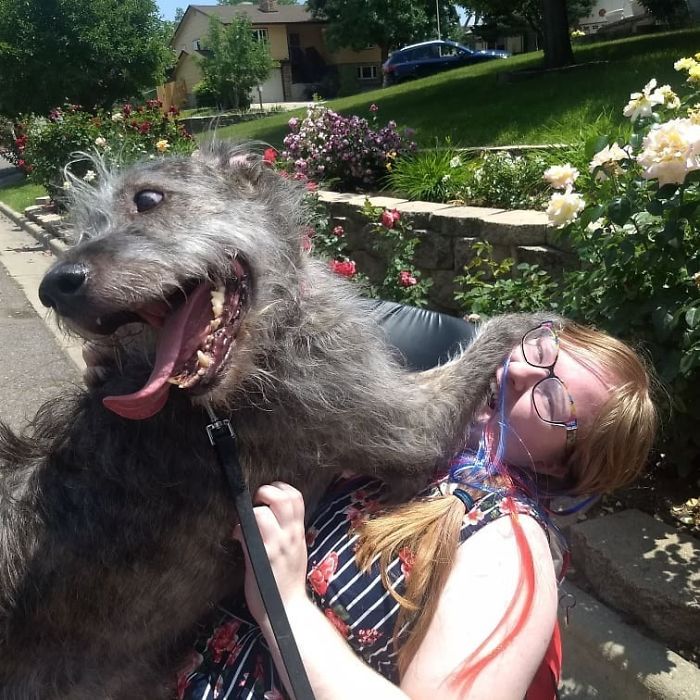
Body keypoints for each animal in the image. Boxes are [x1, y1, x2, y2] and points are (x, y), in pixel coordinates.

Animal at [0, 141, 548, 696]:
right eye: (81, 230)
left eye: (148, 199)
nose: (56, 285)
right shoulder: (388, 415)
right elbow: (467, 367)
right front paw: (529, 323)